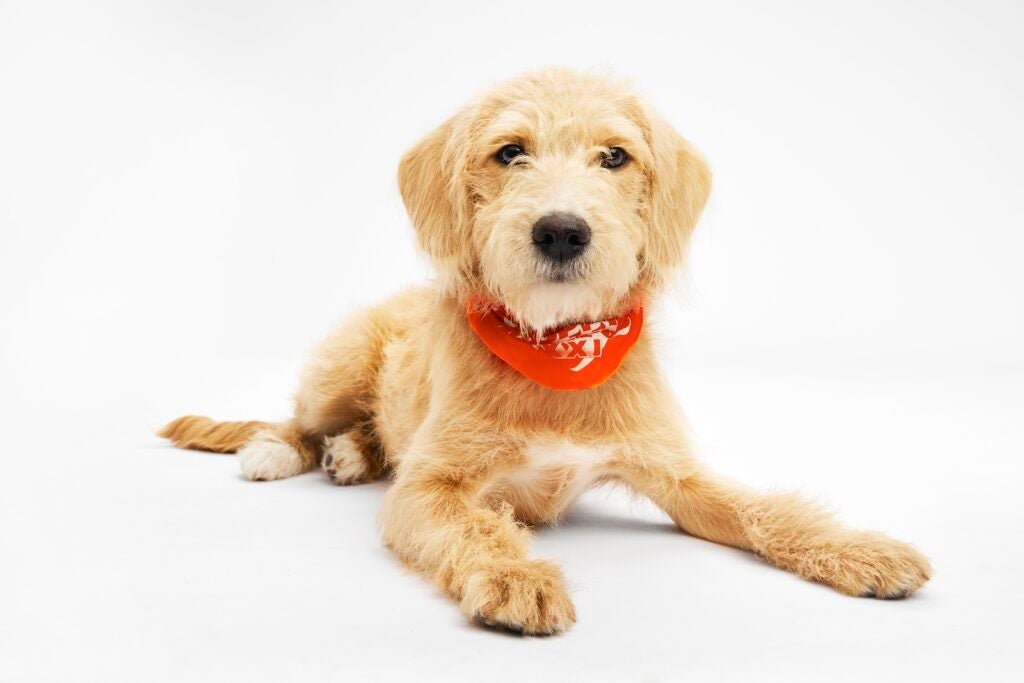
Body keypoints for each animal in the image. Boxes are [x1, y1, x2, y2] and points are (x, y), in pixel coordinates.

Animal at [157, 68, 929, 634]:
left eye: (614, 155)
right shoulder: (429, 487)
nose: (561, 231)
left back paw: (351, 454)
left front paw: (859, 549)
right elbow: (474, 527)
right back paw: (284, 449)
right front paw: (517, 576)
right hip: (336, 369)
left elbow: (761, 509)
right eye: (510, 151)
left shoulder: (678, 475)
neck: (557, 345)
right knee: (296, 419)